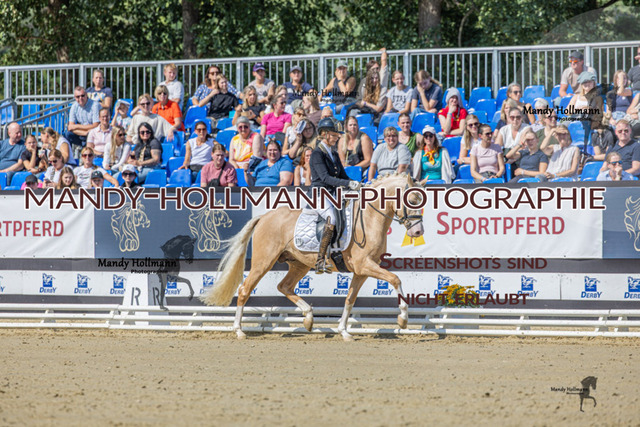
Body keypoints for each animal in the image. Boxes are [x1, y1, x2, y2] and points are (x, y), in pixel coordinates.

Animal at [201, 173, 425, 340]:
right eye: (412, 200)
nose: (417, 232)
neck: (369, 220)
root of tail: (264, 216)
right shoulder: (364, 265)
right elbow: (395, 279)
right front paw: (403, 319)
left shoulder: (361, 271)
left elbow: (350, 299)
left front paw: (344, 331)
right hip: (264, 261)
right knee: (245, 289)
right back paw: (239, 330)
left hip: (299, 264)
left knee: (284, 286)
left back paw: (308, 317)